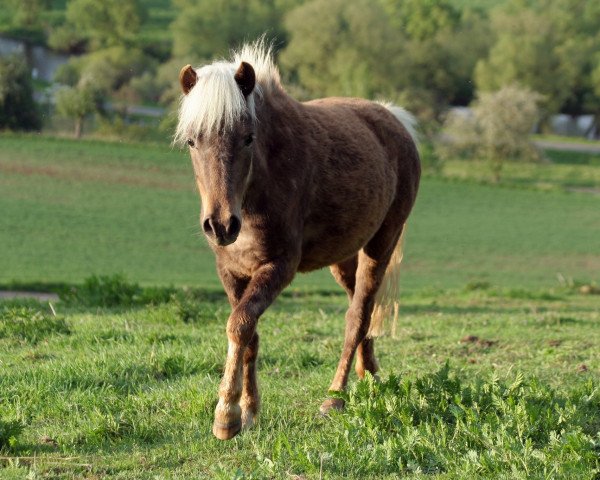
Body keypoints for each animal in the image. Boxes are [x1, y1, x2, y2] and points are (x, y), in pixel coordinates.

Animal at [176, 43, 420, 440]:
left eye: (248, 137)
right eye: (192, 141)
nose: (221, 225)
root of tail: (395, 119)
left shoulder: (279, 266)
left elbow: (239, 325)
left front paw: (226, 416)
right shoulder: (230, 271)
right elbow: (249, 335)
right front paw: (250, 412)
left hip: (381, 244)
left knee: (357, 316)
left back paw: (335, 398)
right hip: (344, 258)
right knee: (363, 311)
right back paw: (370, 379)